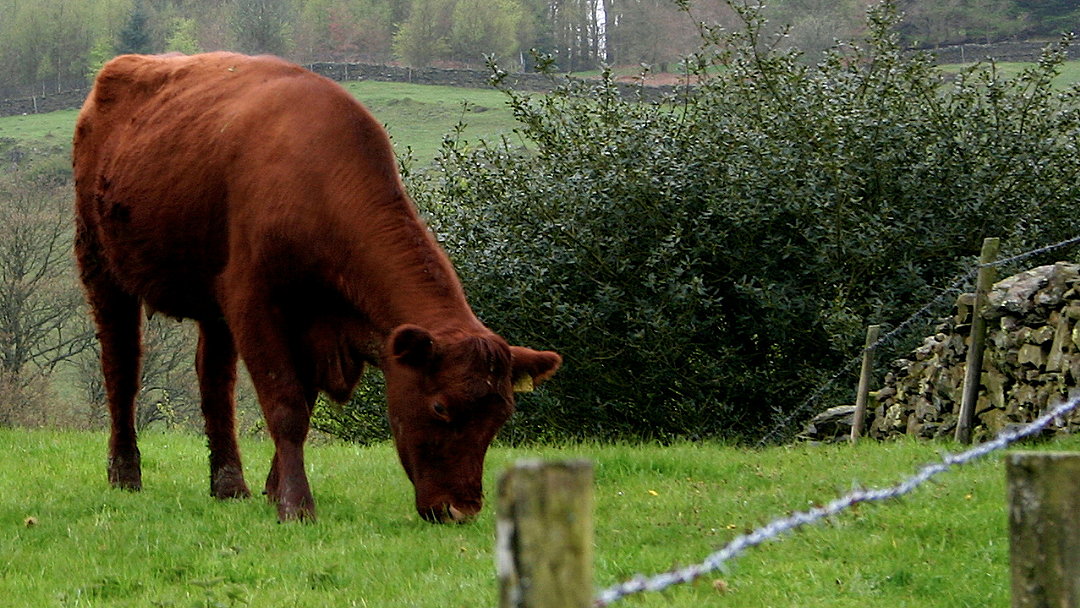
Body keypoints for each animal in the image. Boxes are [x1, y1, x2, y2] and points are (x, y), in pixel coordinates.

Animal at [71, 53, 561, 522]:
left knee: (214, 382)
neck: (317, 183)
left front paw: (273, 490)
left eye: (501, 415)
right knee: (122, 368)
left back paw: (229, 485)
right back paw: (125, 473)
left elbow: (301, 406)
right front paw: (295, 505)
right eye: (440, 407)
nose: (461, 510)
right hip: (100, 265)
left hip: (210, 301)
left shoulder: (311, 325)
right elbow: (286, 406)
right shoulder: (255, 303)